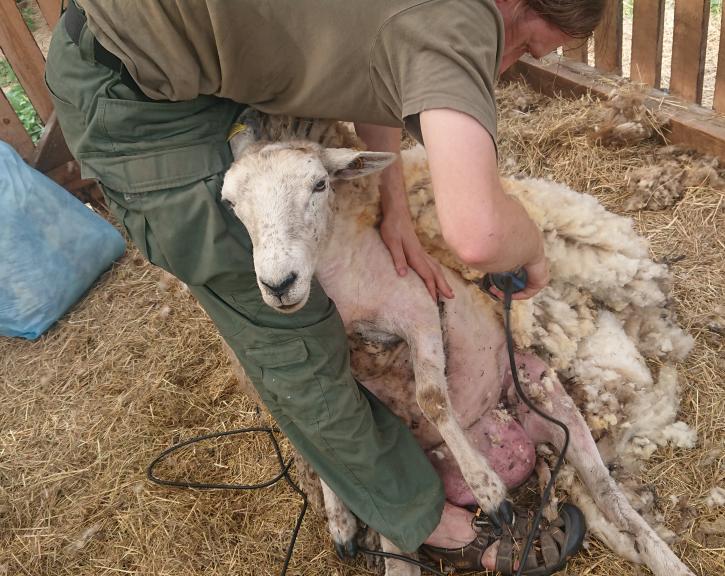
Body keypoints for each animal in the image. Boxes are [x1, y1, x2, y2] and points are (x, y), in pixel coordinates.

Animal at [218, 113, 692, 576]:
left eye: (319, 184)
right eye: (231, 203)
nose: (279, 284)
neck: (343, 280)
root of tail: (511, 432)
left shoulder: (419, 307)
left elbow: (432, 398)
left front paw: (489, 492)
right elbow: (320, 430)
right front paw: (340, 520)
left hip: (551, 404)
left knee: (613, 501)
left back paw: (668, 561)